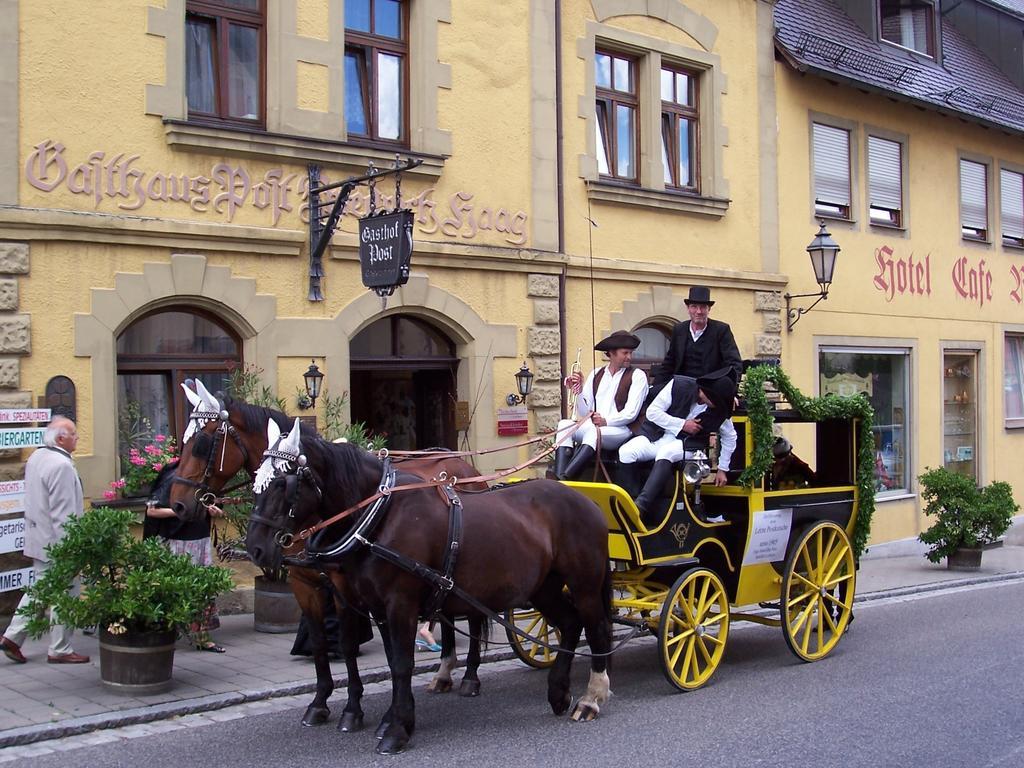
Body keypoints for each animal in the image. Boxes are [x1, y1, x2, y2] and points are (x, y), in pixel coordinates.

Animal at [166, 385, 491, 733]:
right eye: (183, 441)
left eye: (201, 444)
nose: (178, 505)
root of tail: (464, 467)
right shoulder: (303, 582)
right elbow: (321, 643)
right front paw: (320, 702)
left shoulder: (343, 586)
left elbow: (348, 643)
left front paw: (354, 708)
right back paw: (444, 673)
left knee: (473, 614)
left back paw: (470, 676)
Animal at [245, 417, 614, 753]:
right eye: (256, 479)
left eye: (282, 483)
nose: (255, 548)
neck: (380, 515)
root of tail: (585, 500)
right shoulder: (374, 604)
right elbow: (389, 658)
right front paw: (390, 719)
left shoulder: (400, 603)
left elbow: (401, 664)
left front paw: (396, 729)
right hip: (543, 588)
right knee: (570, 623)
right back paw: (558, 691)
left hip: (584, 584)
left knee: (595, 628)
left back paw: (591, 697)